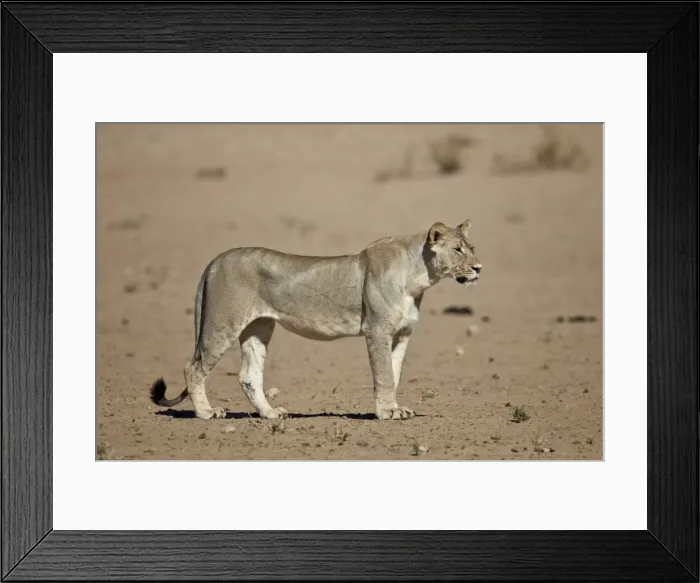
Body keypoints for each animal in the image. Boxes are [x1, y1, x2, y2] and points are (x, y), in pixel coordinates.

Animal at [150, 220, 482, 421]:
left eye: (472, 248)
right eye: (457, 250)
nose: (479, 268)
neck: (419, 276)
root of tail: (216, 260)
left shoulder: (402, 333)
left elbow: (395, 373)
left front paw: (395, 408)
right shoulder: (376, 330)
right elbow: (384, 375)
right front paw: (387, 412)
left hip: (259, 328)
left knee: (249, 375)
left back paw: (271, 414)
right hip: (222, 323)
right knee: (193, 368)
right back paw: (207, 413)